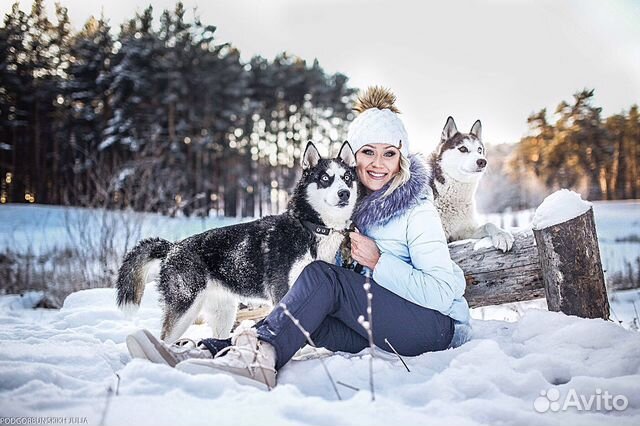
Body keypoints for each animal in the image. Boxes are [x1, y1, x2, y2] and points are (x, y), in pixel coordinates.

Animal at [117, 141, 358, 342]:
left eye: (347, 177)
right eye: (325, 178)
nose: (344, 193)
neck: (310, 228)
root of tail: (172, 248)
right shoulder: (283, 291)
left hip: (224, 313)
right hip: (185, 307)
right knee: (166, 338)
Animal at [430, 115, 516, 253]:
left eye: (479, 150)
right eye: (463, 149)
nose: (482, 161)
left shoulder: (464, 232)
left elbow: (489, 224)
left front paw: (502, 235)